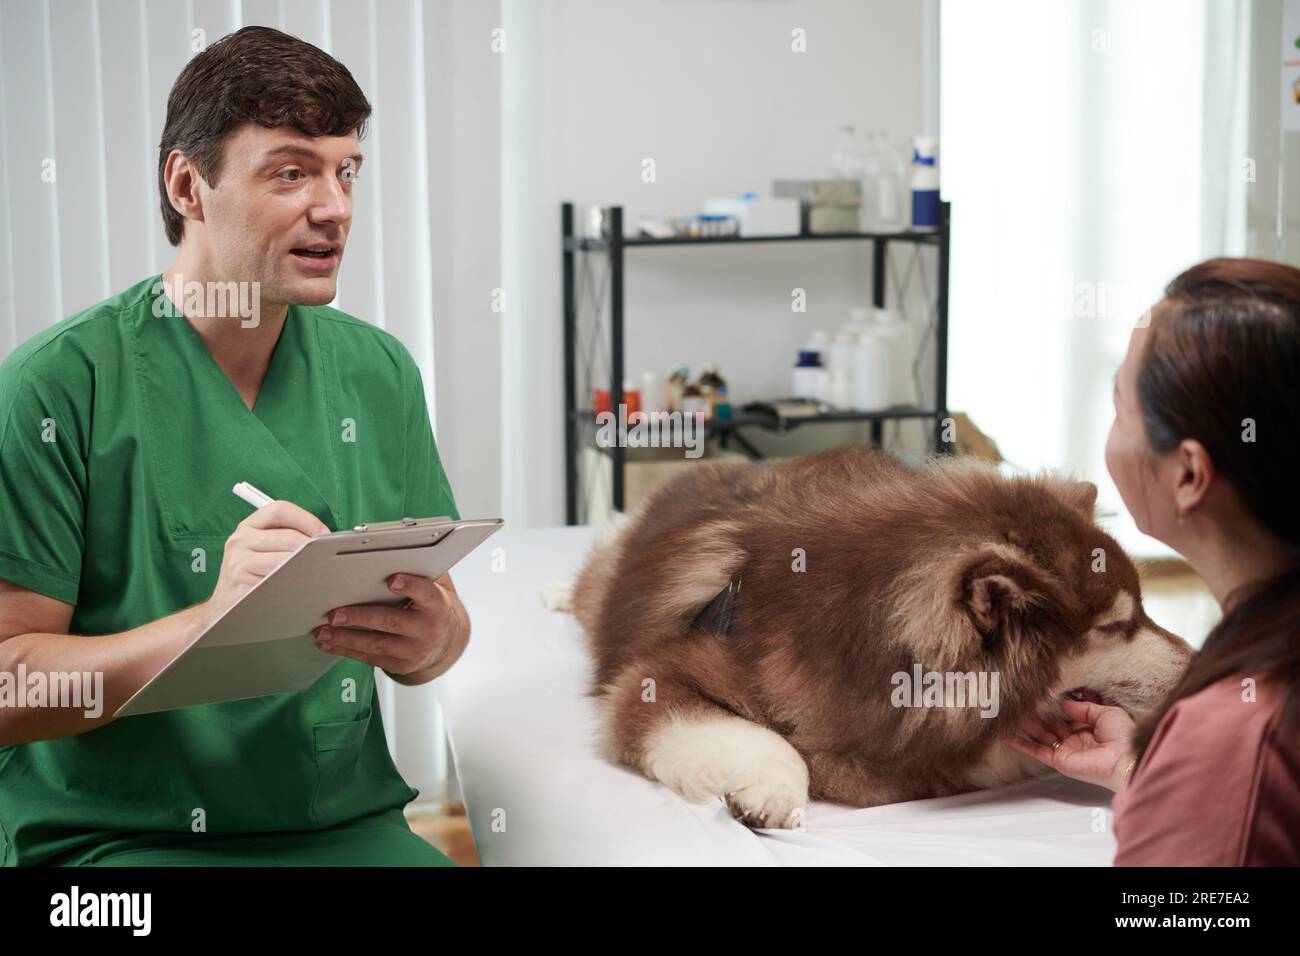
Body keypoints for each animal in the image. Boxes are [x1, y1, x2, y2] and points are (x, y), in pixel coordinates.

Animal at [564, 447, 1190, 832]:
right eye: (1114, 626)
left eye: (1144, 611)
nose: (1196, 663)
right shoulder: (658, 675)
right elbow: (769, 740)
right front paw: (771, 793)